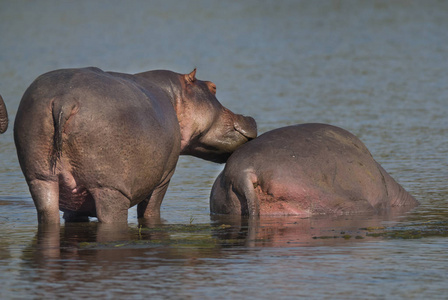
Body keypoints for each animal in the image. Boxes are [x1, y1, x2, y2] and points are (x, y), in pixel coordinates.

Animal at [14, 67, 258, 223]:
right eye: (213, 87)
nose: (250, 117)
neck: (175, 97)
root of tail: (65, 99)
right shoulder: (164, 178)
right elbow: (150, 210)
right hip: (110, 189)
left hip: (40, 178)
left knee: (47, 211)